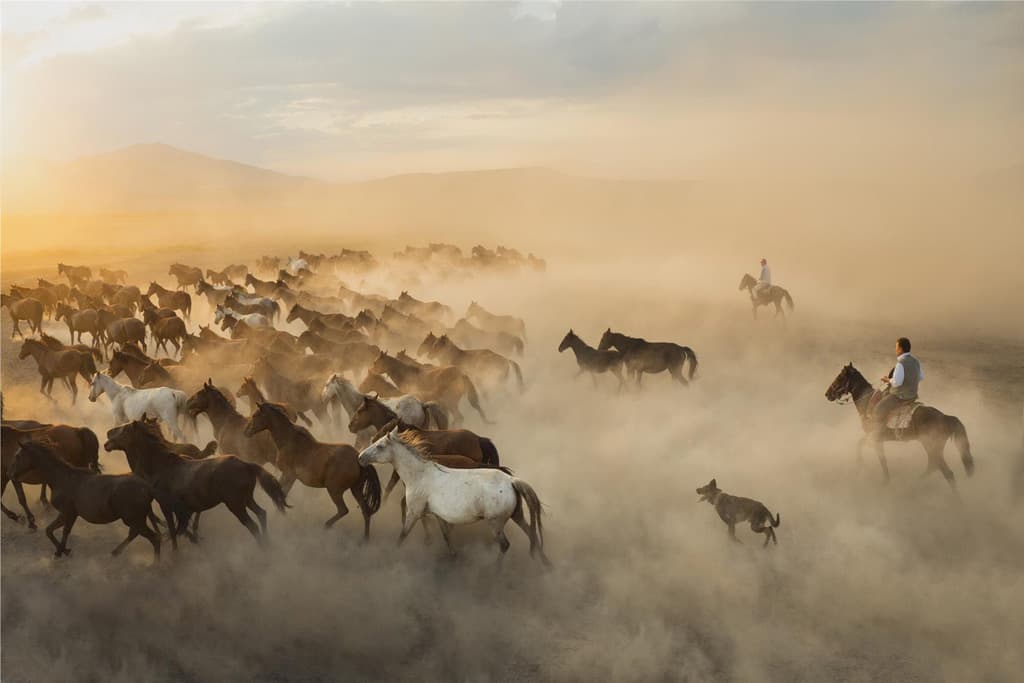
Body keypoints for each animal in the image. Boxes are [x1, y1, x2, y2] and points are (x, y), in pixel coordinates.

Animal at [9, 440, 161, 565]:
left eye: (18, 456)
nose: (11, 474)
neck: (61, 478)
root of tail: (147, 488)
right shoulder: (70, 515)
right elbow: (53, 531)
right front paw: (62, 552)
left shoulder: (67, 513)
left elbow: (58, 531)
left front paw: (62, 552)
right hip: (135, 520)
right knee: (136, 534)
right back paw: (114, 553)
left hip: (133, 519)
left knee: (153, 537)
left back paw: (155, 565)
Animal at [105, 419, 288, 548]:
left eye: (124, 430)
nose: (107, 439)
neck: (160, 466)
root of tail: (246, 464)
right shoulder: (181, 509)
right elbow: (180, 529)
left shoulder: (166, 506)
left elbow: (173, 531)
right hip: (247, 499)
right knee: (262, 514)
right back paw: (268, 544)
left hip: (235, 504)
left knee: (252, 525)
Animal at [242, 403, 380, 536]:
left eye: (255, 415)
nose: (246, 432)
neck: (289, 440)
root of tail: (358, 458)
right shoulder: (288, 476)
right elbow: (279, 494)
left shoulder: (289, 475)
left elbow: (280, 496)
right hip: (356, 489)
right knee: (365, 512)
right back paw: (364, 539)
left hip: (334, 490)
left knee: (343, 510)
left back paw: (326, 526)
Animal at [360, 428, 552, 565]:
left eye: (380, 446)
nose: (360, 457)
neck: (419, 475)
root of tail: (512, 481)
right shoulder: (438, 515)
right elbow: (446, 536)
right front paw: (454, 557)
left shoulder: (413, 512)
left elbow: (402, 535)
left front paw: (393, 554)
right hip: (517, 515)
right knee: (532, 534)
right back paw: (547, 566)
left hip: (495, 522)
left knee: (505, 545)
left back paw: (495, 571)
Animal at [823, 362, 974, 491]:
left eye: (840, 377)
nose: (827, 394)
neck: (867, 402)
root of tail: (945, 417)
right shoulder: (876, 439)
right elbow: (880, 458)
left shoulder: (874, 438)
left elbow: (872, 453)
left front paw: (864, 468)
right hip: (932, 447)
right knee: (933, 466)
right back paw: (915, 482)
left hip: (932, 446)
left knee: (947, 473)